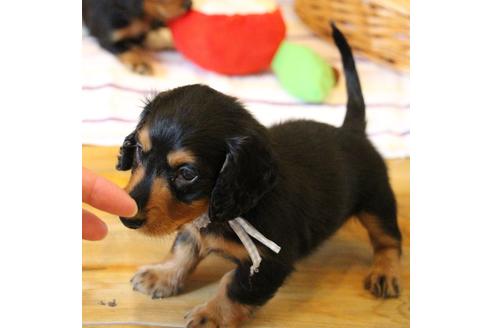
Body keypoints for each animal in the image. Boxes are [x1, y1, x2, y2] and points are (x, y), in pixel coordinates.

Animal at [117, 24, 402, 326]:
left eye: (187, 173)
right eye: (139, 150)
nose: (127, 219)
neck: (222, 213)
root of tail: (352, 130)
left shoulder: (270, 262)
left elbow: (234, 288)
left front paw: (210, 316)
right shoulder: (193, 229)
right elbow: (183, 250)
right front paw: (162, 275)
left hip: (377, 202)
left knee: (389, 239)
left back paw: (385, 272)